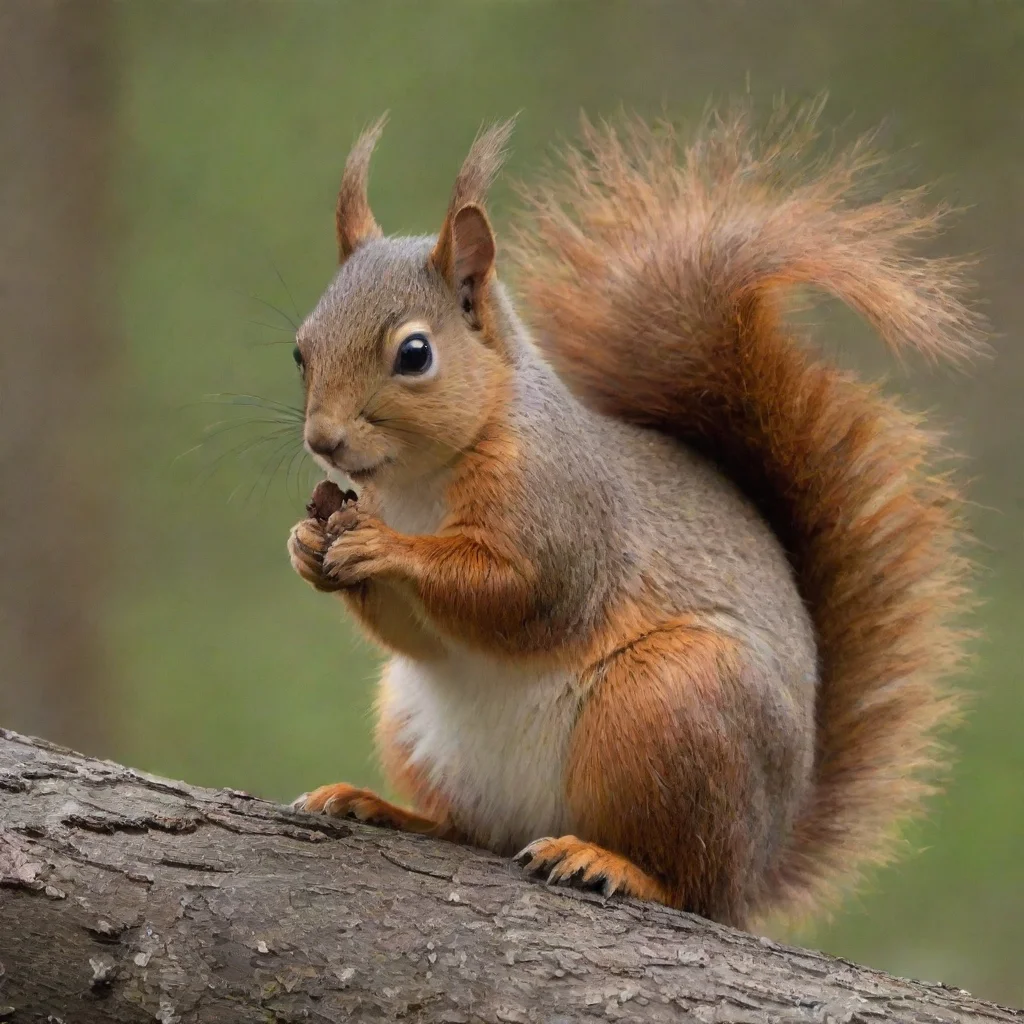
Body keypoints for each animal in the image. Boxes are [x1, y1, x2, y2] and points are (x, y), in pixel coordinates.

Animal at [286, 100, 982, 929]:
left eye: (415, 355)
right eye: (300, 350)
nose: (322, 441)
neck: (422, 482)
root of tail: (760, 864)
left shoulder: (569, 519)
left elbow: (521, 595)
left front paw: (385, 548)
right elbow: (418, 636)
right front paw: (306, 544)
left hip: (666, 706)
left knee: (690, 881)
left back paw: (611, 863)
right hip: (418, 726)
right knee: (471, 831)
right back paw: (386, 809)